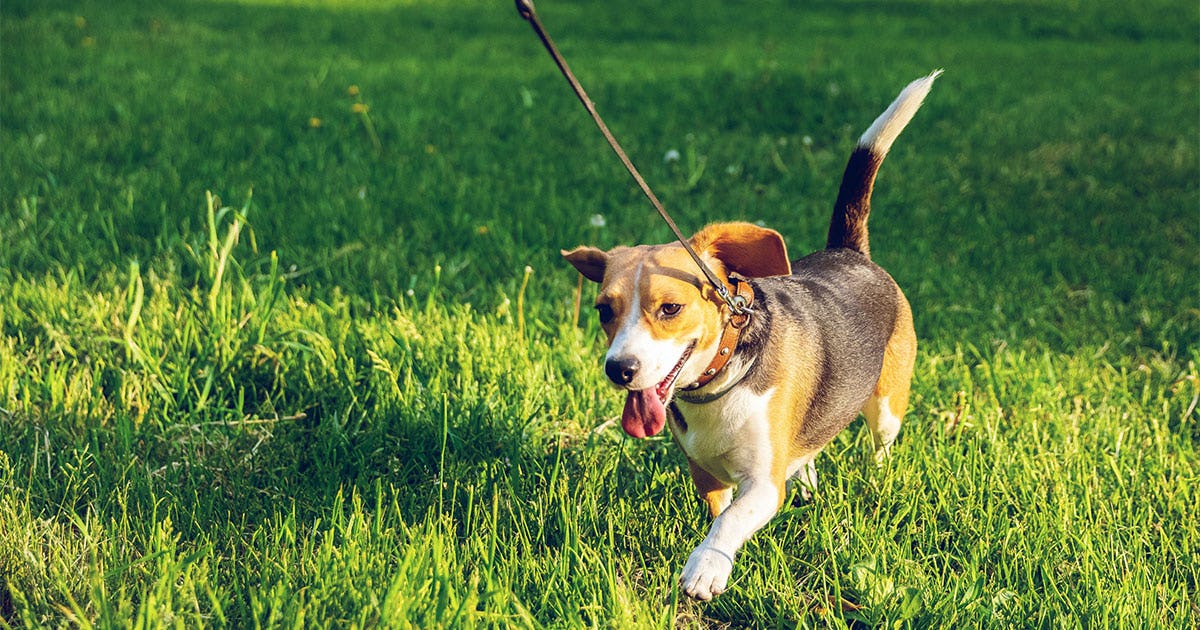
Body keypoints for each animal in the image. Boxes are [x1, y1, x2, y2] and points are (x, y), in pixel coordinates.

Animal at [561, 71, 936, 597]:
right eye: (603, 311)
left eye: (670, 308)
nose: (620, 369)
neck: (718, 382)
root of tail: (848, 251)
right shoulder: (705, 473)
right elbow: (720, 511)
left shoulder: (762, 483)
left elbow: (732, 520)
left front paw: (706, 566)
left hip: (887, 405)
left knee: (880, 445)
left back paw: (876, 480)